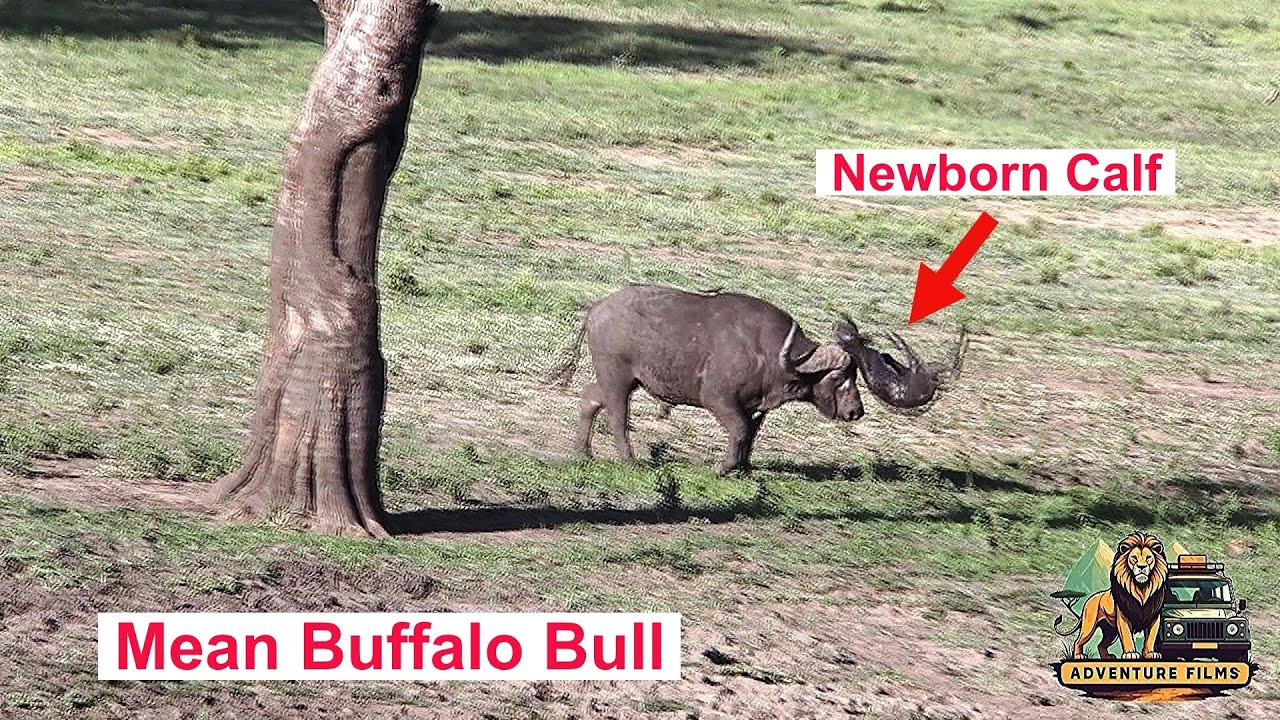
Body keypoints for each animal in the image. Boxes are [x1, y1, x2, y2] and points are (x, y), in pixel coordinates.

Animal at [553, 285, 966, 474]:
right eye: (839, 376)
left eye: (856, 376)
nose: (855, 412)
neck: (771, 355)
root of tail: (596, 309)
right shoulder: (719, 400)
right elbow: (738, 430)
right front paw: (723, 468)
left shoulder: (756, 407)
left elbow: (750, 434)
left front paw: (743, 467)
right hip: (619, 378)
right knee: (617, 417)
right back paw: (629, 460)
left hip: (621, 380)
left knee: (589, 399)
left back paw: (582, 452)